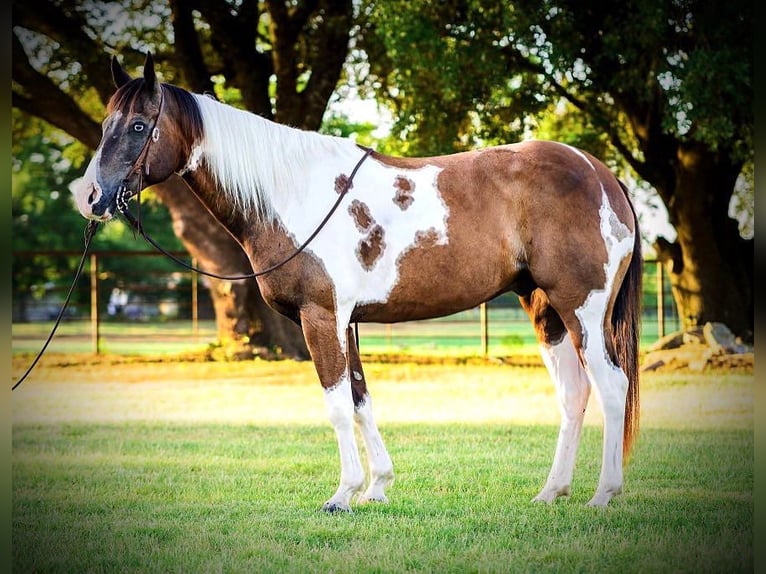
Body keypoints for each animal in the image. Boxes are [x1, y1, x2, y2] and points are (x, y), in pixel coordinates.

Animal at [72, 54, 644, 510]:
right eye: (105, 124)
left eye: (140, 126)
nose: (92, 198)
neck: (292, 192)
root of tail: (601, 174)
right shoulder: (348, 322)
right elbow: (361, 398)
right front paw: (377, 487)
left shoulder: (321, 316)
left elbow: (335, 402)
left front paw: (342, 494)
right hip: (546, 310)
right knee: (573, 394)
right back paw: (552, 491)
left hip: (583, 308)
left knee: (611, 386)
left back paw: (604, 494)